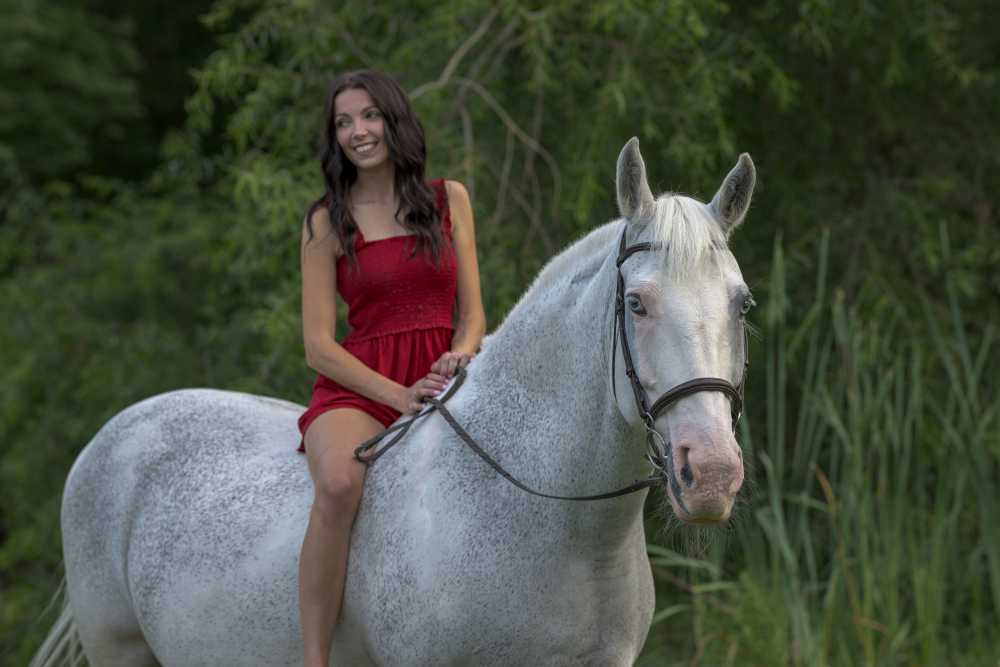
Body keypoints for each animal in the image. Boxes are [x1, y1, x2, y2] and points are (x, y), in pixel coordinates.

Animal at [30, 138, 756, 667]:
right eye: (636, 302)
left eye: (742, 304)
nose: (712, 474)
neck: (561, 526)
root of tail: (121, 429)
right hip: (119, 650)